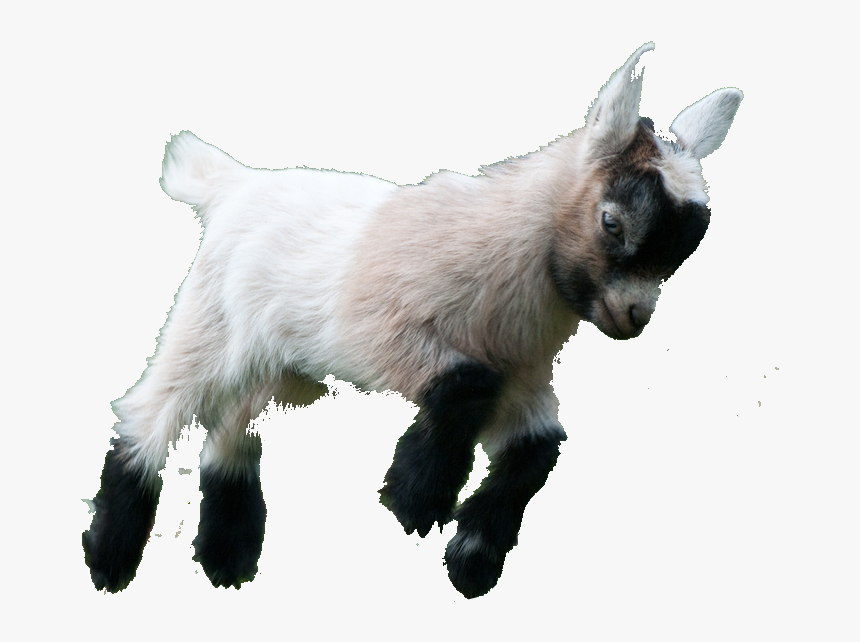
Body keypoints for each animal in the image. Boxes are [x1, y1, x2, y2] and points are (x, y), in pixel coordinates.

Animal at [83, 43, 742, 598]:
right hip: (210, 323)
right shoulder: (379, 329)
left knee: (229, 427)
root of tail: (233, 183)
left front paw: (472, 556)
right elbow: (466, 383)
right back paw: (110, 560)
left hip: (277, 363)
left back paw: (228, 555)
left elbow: (539, 448)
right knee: (150, 412)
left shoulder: (525, 377)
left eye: (681, 253)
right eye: (612, 222)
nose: (634, 317)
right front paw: (414, 498)